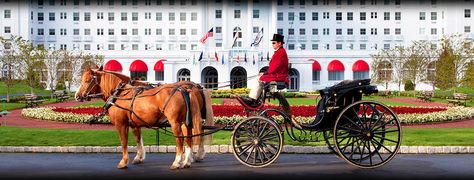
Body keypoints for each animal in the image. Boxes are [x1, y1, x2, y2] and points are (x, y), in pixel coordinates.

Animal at [76, 68, 215, 169]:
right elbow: (138, 139)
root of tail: (185, 88)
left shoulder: (121, 124)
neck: (119, 94)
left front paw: (124, 161)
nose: (77, 96)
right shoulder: (135, 124)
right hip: (186, 122)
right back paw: (187, 161)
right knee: (190, 137)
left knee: (180, 139)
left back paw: (178, 161)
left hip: (176, 122)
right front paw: (138, 157)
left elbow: (124, 142)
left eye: (87, 80)